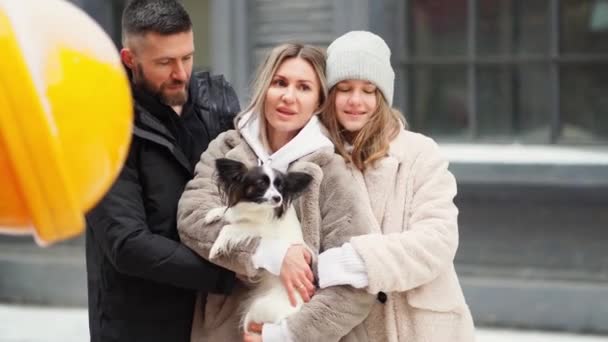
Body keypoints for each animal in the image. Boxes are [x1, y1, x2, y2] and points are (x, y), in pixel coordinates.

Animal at [207, 159, 316, 332]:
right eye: (261, 184)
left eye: (280, 187)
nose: (278, 198)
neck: (256, 208)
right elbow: (229, 212)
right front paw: (213, 214)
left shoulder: (255, 228)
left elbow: (229, 228)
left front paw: (216, 247)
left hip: (261, 307)